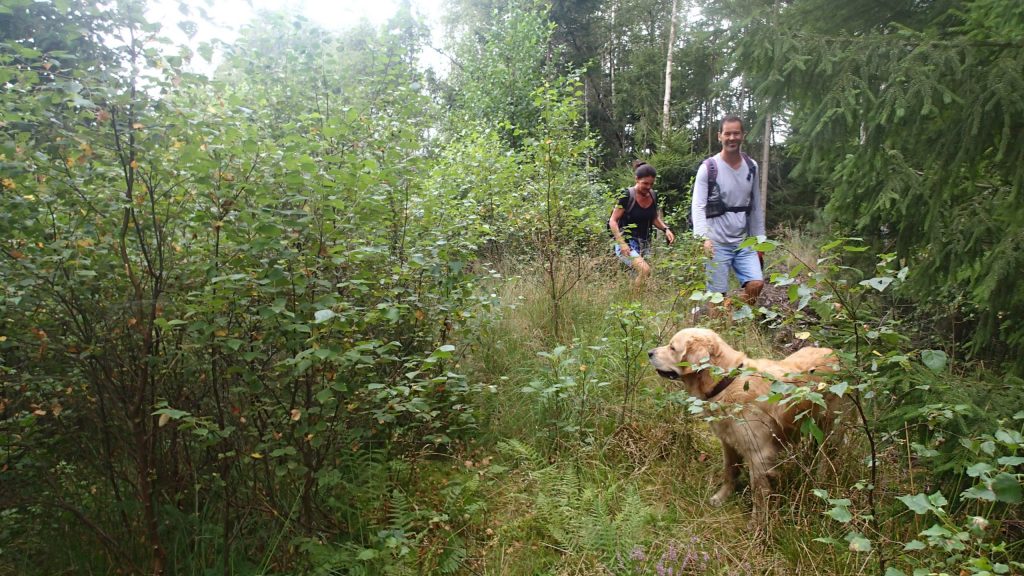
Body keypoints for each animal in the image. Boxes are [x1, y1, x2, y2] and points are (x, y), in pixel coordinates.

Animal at [647, 325, 839, 508]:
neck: (725, 382)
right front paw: (722, 497)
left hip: (829, 426)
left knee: (826, 455)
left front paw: (758, 520)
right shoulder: (728, 443)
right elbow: (729, 471)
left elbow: (759, 495)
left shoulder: (759, 454)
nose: (649, 352)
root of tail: (835, 355)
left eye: (672, 347)